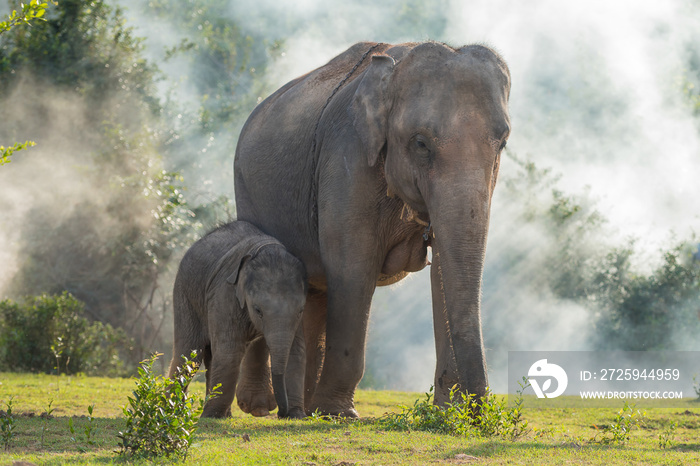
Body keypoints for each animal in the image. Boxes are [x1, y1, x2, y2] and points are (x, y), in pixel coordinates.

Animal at [168, 219, 308, 418]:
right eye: (258, 310)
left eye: (300, 310)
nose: (281, 413)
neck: (267, 248)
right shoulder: (225, 294)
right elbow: (229, 351)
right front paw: (211, 416)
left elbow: (296, 352)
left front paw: (297, 415)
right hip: (184, 296)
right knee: (189, 353)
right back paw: (169, 410)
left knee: (208, 355)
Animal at [232, 41, 512, 416]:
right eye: (421, 143)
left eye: (503, 143)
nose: (478, 411)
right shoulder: (346, 160)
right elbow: (353, 268)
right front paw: (338, 413)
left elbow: (443, 268)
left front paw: (447, 412)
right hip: (246, 189)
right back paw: (263, 407)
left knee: (316, 295)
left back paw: (304, 410)